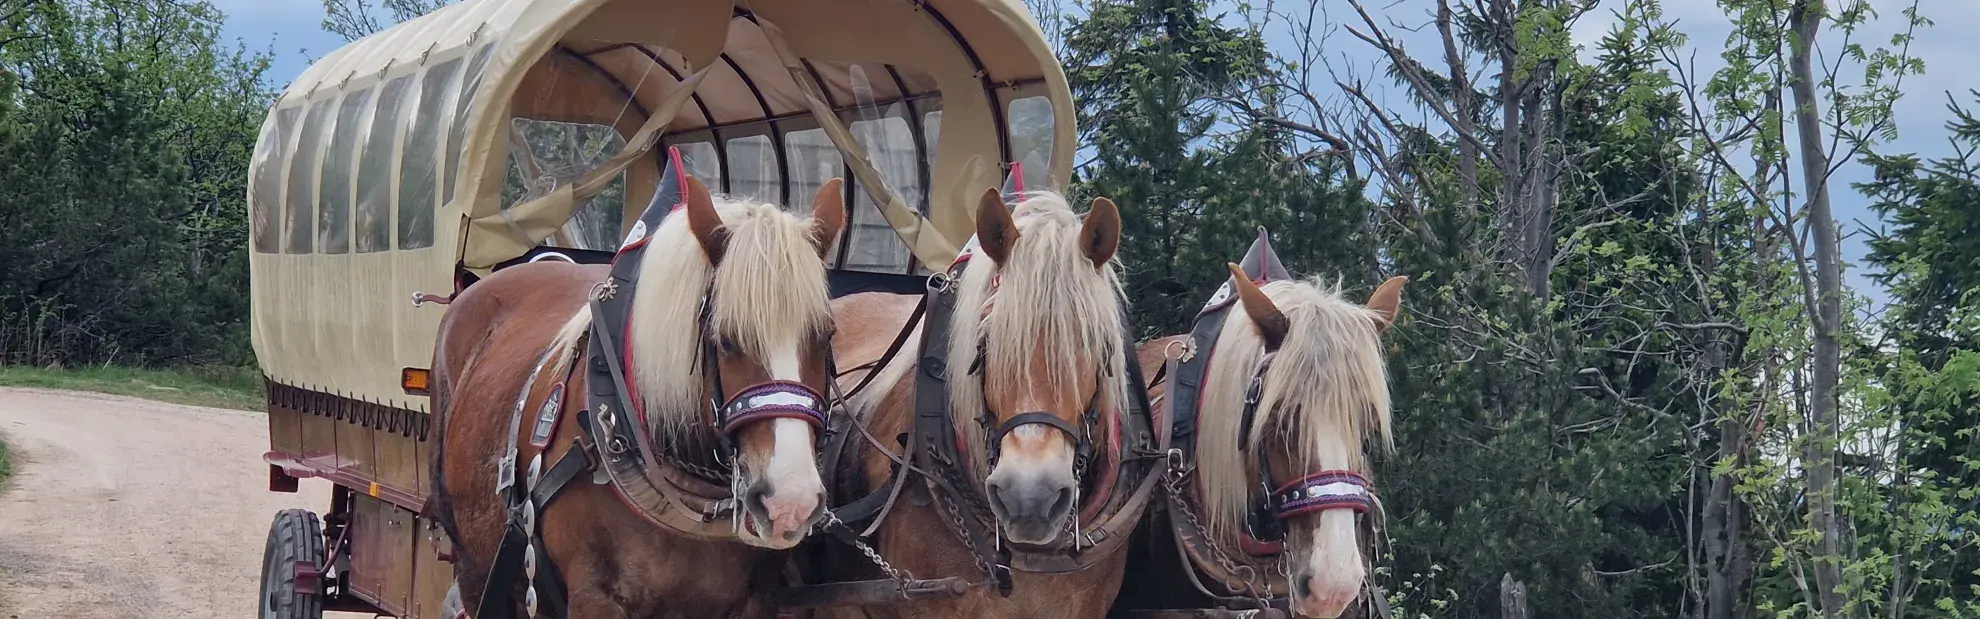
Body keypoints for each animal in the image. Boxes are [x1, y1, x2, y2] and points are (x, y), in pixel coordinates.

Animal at [427, 161, 848, 618]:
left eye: (826, 334)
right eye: (726, 341)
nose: (790, 501)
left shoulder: (756, 601)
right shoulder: (595, 598)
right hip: (475, 564)